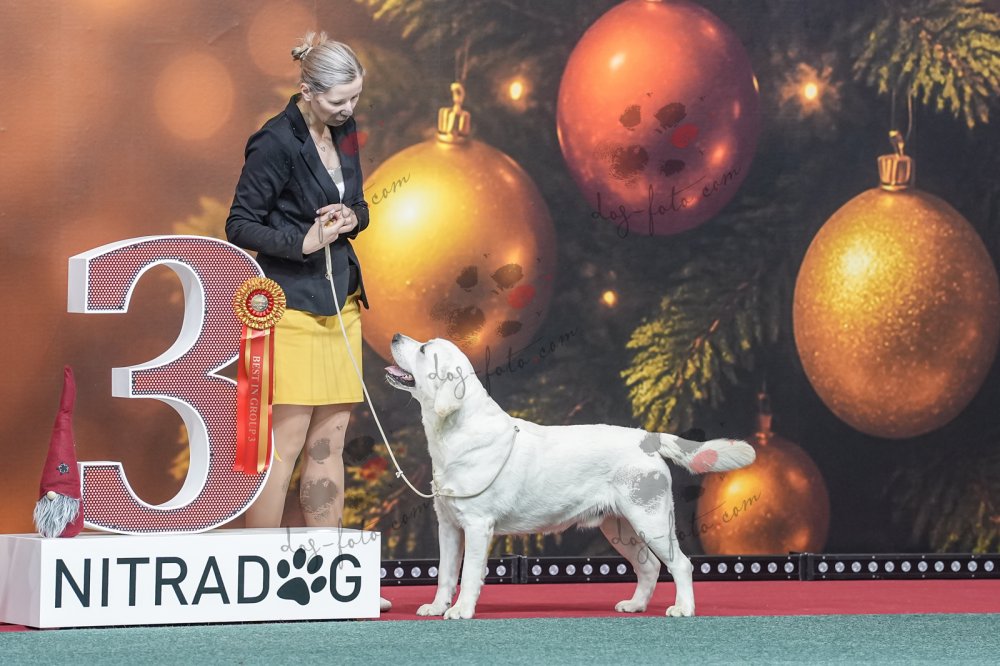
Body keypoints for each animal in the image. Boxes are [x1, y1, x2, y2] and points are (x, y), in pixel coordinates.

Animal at [385, 334, 755, 619]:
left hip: (651, 520)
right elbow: (445, 573)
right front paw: (436, 607)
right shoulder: (448, 526)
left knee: (681, 565)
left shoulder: (477, 525)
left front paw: (461, 610)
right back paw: (635, 605)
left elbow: (469, 572)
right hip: (620, 527)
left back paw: (684, 609)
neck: (454, 431)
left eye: (423, 349)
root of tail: (645, 438)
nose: (395, 336)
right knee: (649, 566)